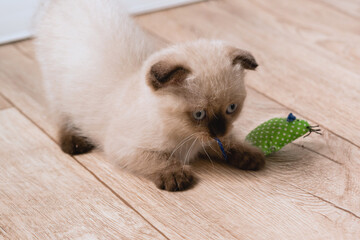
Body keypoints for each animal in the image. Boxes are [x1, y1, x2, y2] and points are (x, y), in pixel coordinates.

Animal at [35, 0, 264, 191]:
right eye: (199, 114)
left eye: (231, 108)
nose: (218, 131)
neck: (185, 136)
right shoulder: (124, 148)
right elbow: (158, 159)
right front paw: (175, 175)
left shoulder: (208, 140)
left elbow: (229, 143)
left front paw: (248, 155)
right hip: (56, 89)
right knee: (61, 116)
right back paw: (74, 142)